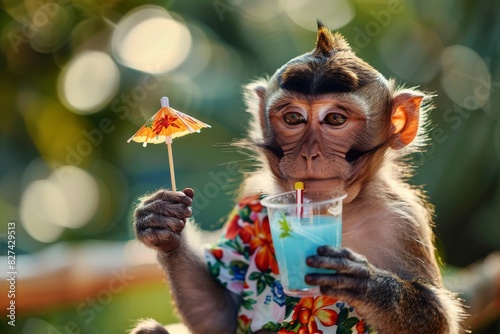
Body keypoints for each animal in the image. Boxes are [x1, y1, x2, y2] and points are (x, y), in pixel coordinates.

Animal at [130, 22, 464, 332]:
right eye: (293, 118)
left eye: (335, 119)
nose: (308, 153)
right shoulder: (251, 198)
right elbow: (217, 318)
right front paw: (161, 222)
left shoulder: (403, 223)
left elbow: (438, 320)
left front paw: (363, 282)